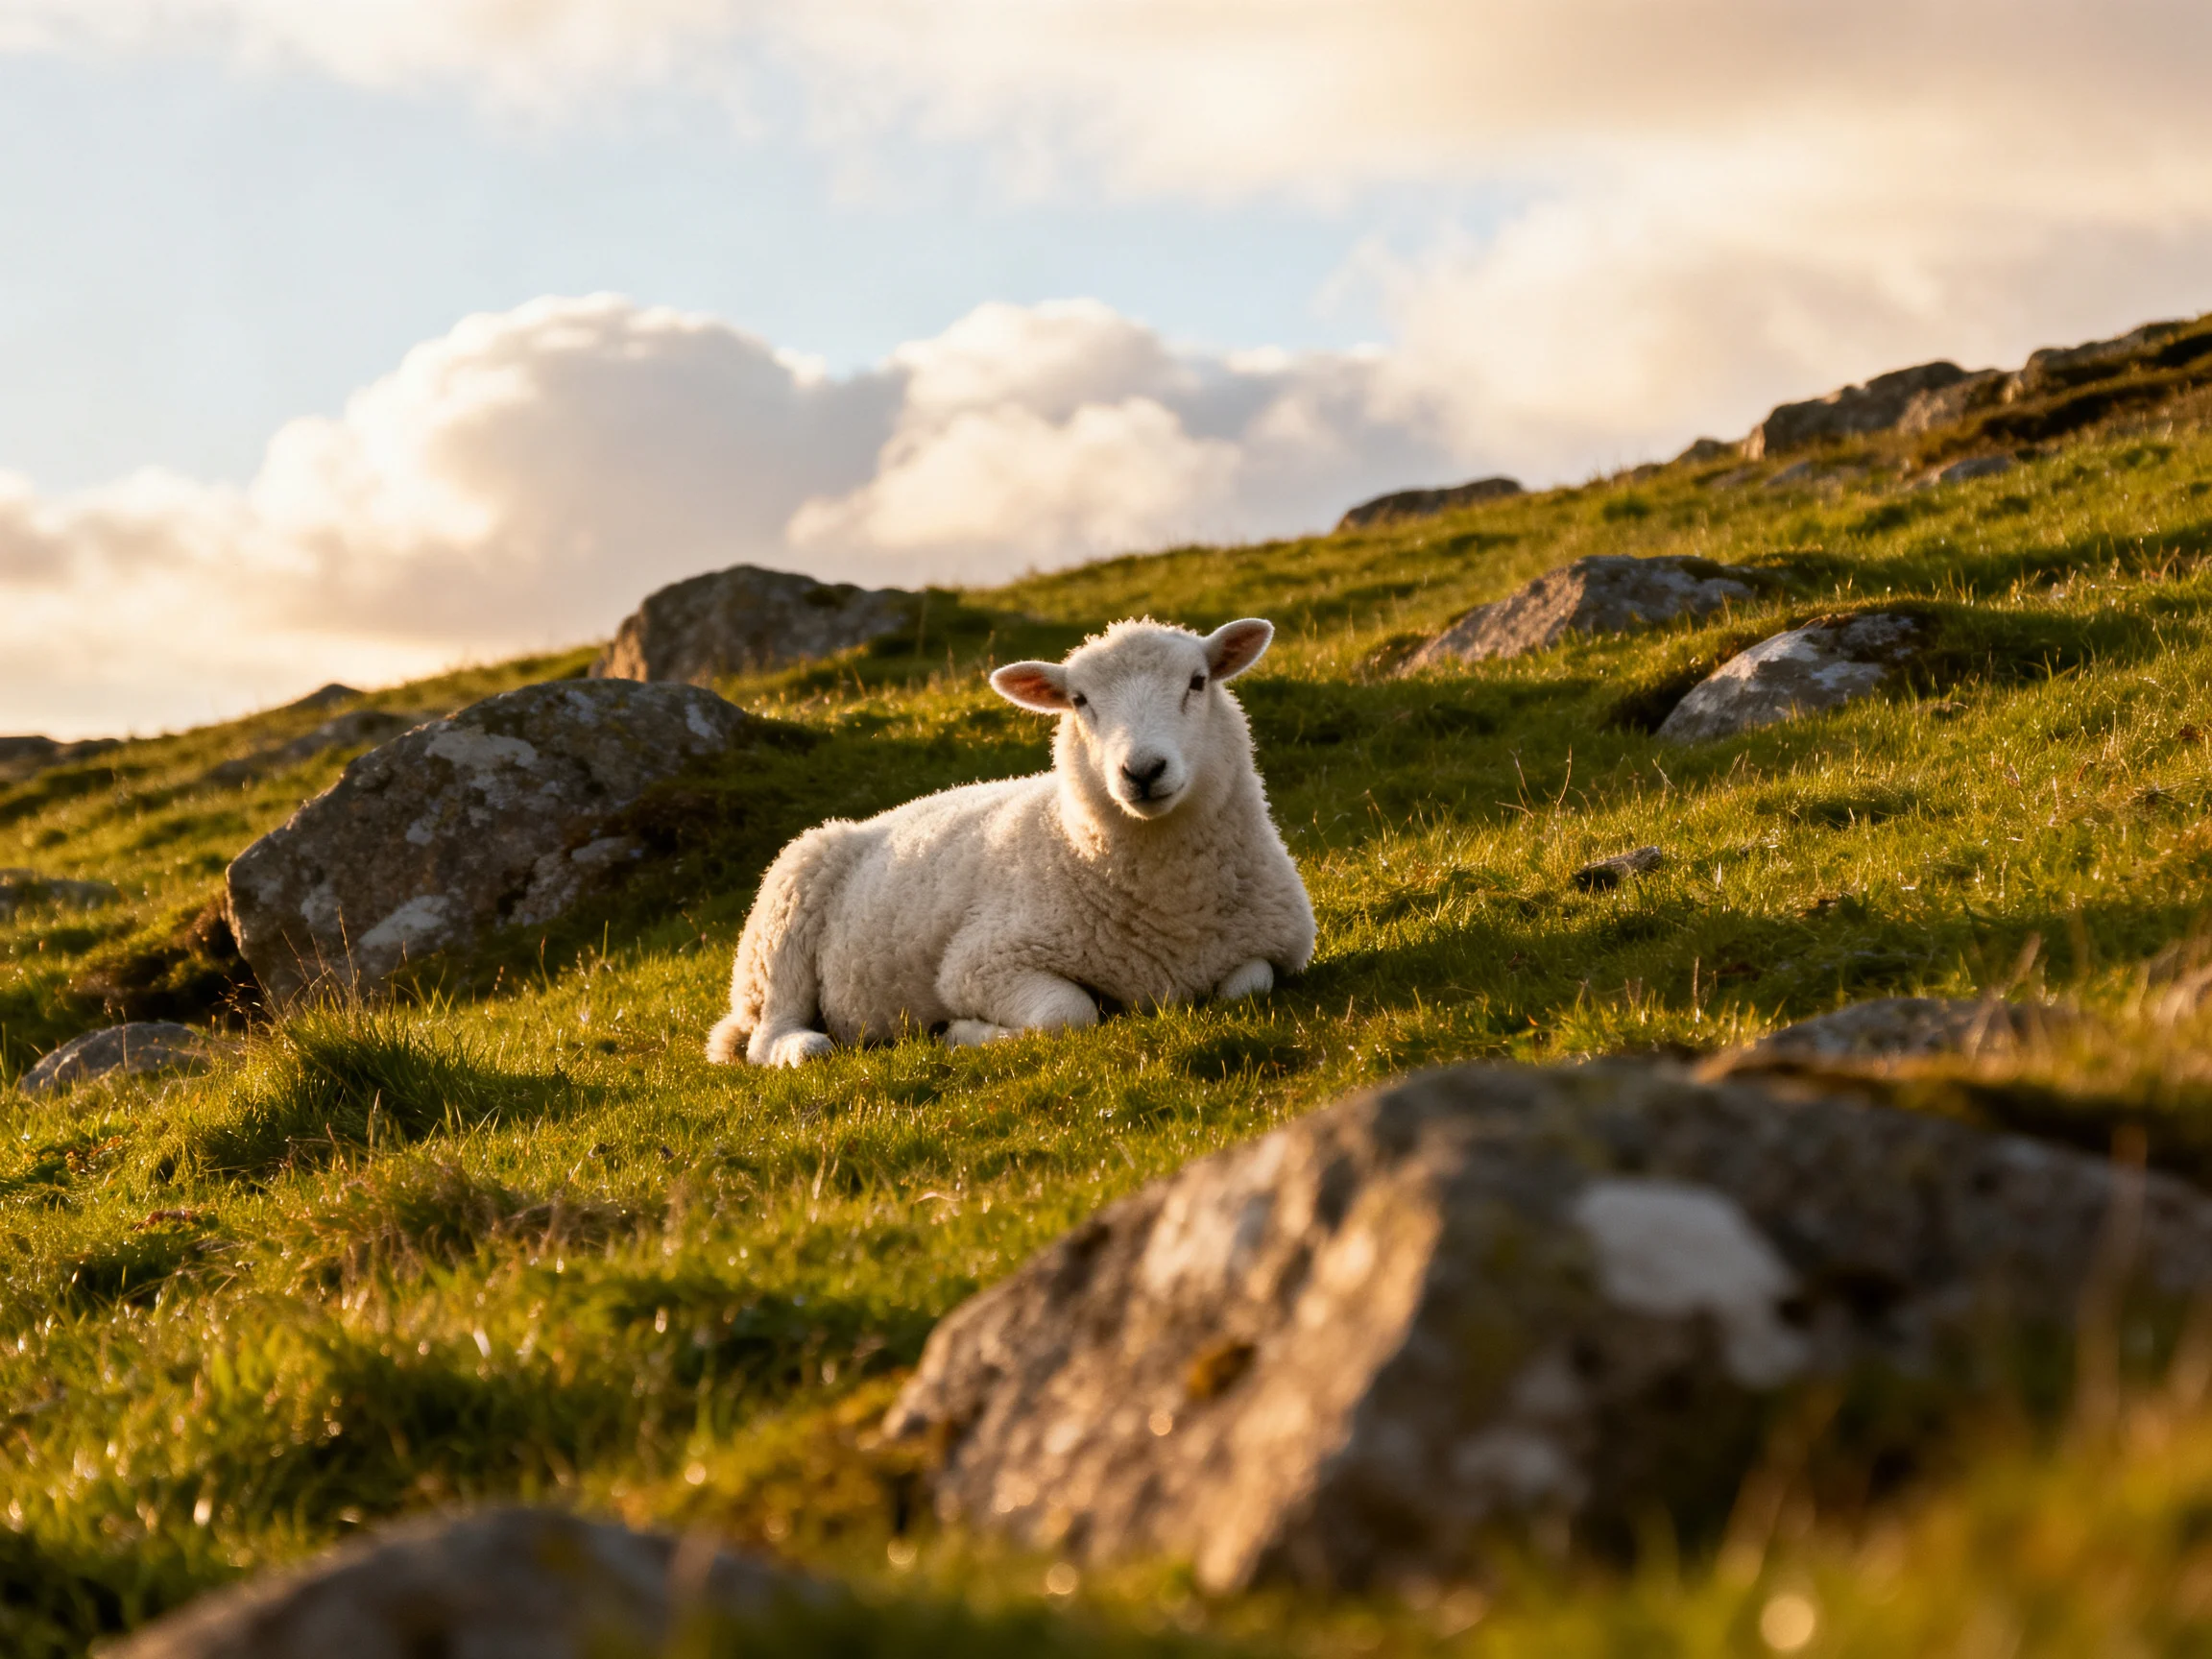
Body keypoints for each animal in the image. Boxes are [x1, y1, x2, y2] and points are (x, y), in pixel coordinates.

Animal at [706, 617, 1316, 1066]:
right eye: (1080, 700)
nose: (1142, 771)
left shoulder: (1278, 949)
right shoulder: (982, 962)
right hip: (781, 922)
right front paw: (961, 1031)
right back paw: (804, 1046)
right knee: (768, 1034)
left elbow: (1249, 983)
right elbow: (1067, 1014)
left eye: (1197, 681)